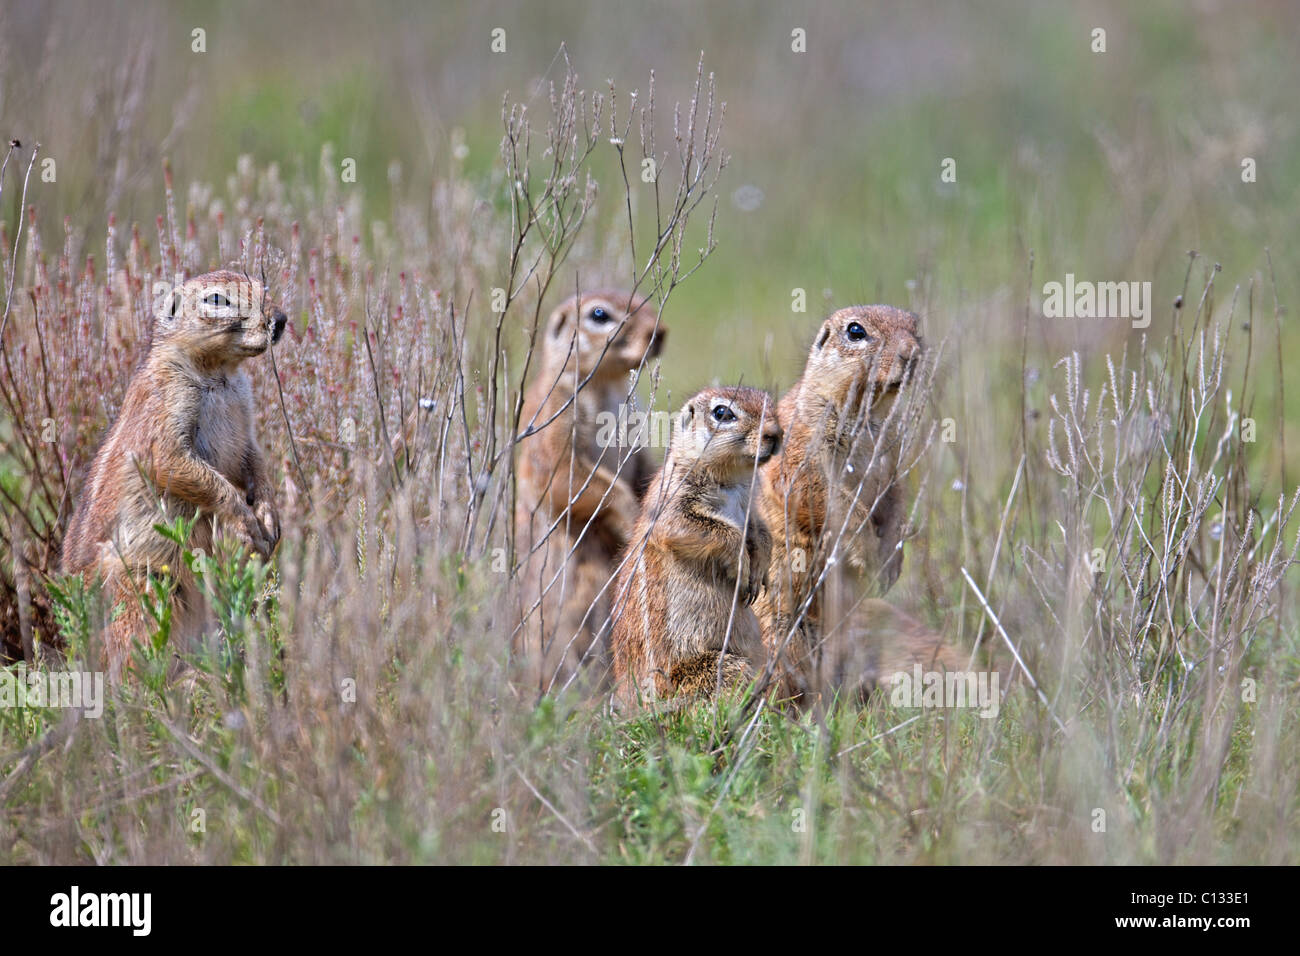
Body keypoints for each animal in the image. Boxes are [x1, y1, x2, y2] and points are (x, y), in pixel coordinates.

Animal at [61, 269, 285, 676]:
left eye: (265, 288)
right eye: (217, 299)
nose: (280, 320)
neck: (220, 372)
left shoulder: (246, 420)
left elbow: (255, 460)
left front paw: (268, 516)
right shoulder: (165, 403)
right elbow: (174, 462)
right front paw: (245, 521)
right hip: (143, 589)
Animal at [514, 288, 666, 693]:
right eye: (599, 314)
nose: (659, 332)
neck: (604, 386)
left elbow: (643, 466)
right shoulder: (552, 419)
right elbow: (568, 478)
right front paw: (633, 519)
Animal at [610, 386, 782, 707]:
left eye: (770, 402)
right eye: (722, 413)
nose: (775, 433)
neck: (734, 480)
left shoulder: (751, 510)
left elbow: (763, 533)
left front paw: (759, 570)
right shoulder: (674, 502)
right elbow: (704, 529)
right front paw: (742, 565)